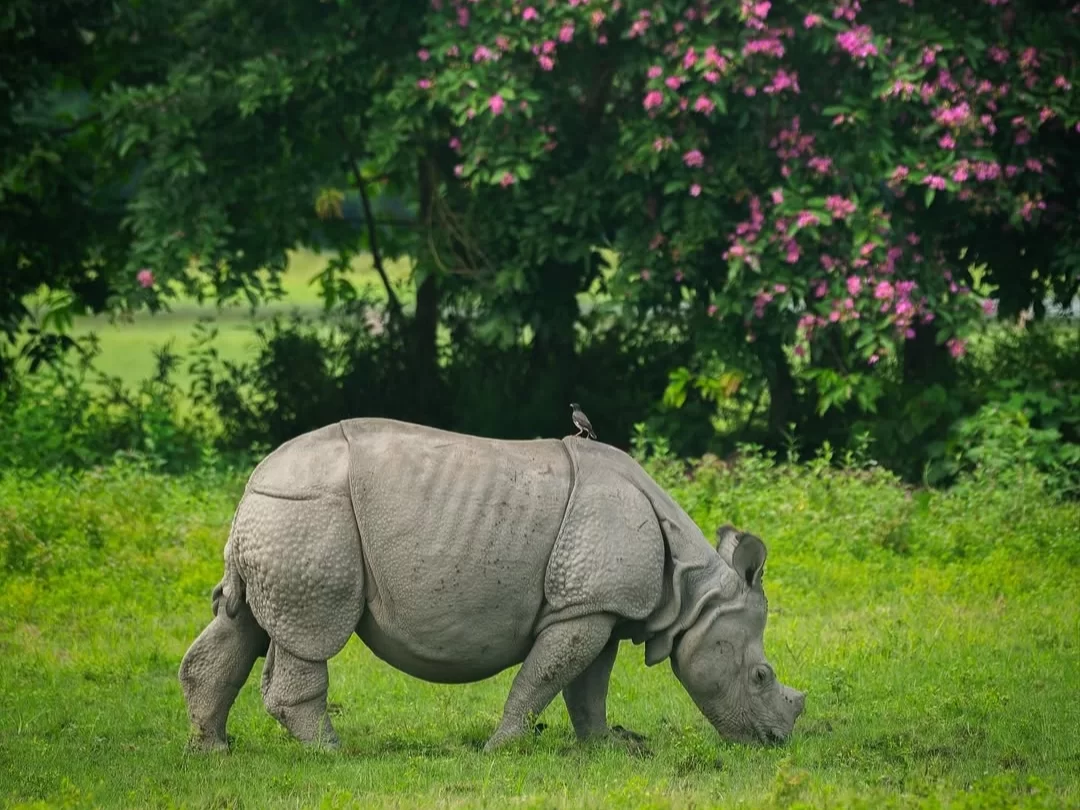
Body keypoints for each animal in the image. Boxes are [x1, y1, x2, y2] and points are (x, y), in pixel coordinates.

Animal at [179, 418, 805, 752]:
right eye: (761, 675)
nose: (775, 742)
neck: (691, 592)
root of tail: (254, 482)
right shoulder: (586, 607)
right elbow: (545, 677)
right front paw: (503, 747)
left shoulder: (596, 604)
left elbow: (587, 688)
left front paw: (606, 748)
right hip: (309, 516)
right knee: (311, 635)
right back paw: (334, 753)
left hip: (280, 516)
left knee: (243, 625)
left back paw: (214, 751)